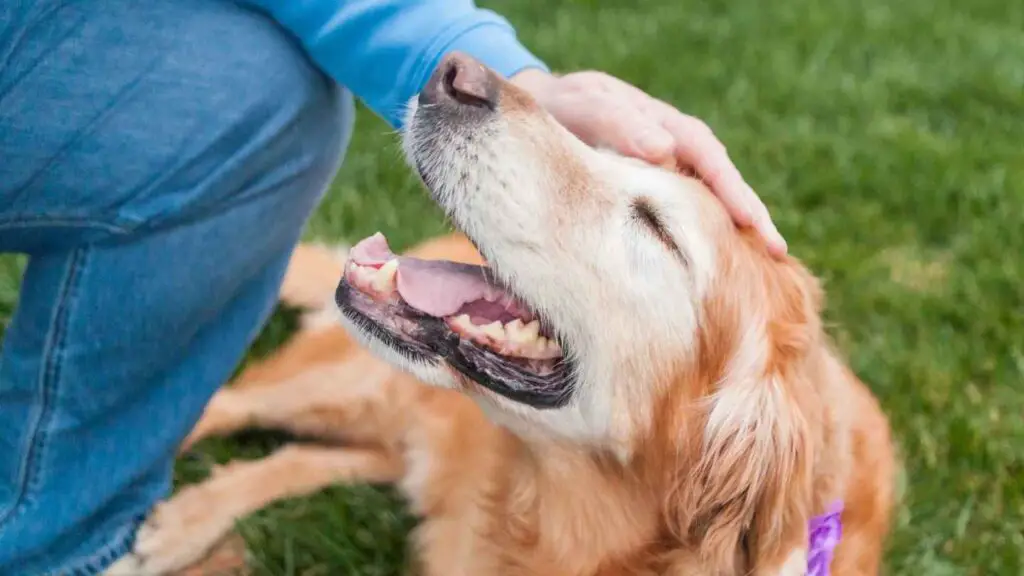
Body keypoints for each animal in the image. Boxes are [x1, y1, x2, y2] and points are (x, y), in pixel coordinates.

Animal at [108, 51, 897, 569]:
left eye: (656, 226)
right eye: (611, 150)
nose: (454, 74)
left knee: (306, 456)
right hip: (351, 385)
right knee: (217, 405)